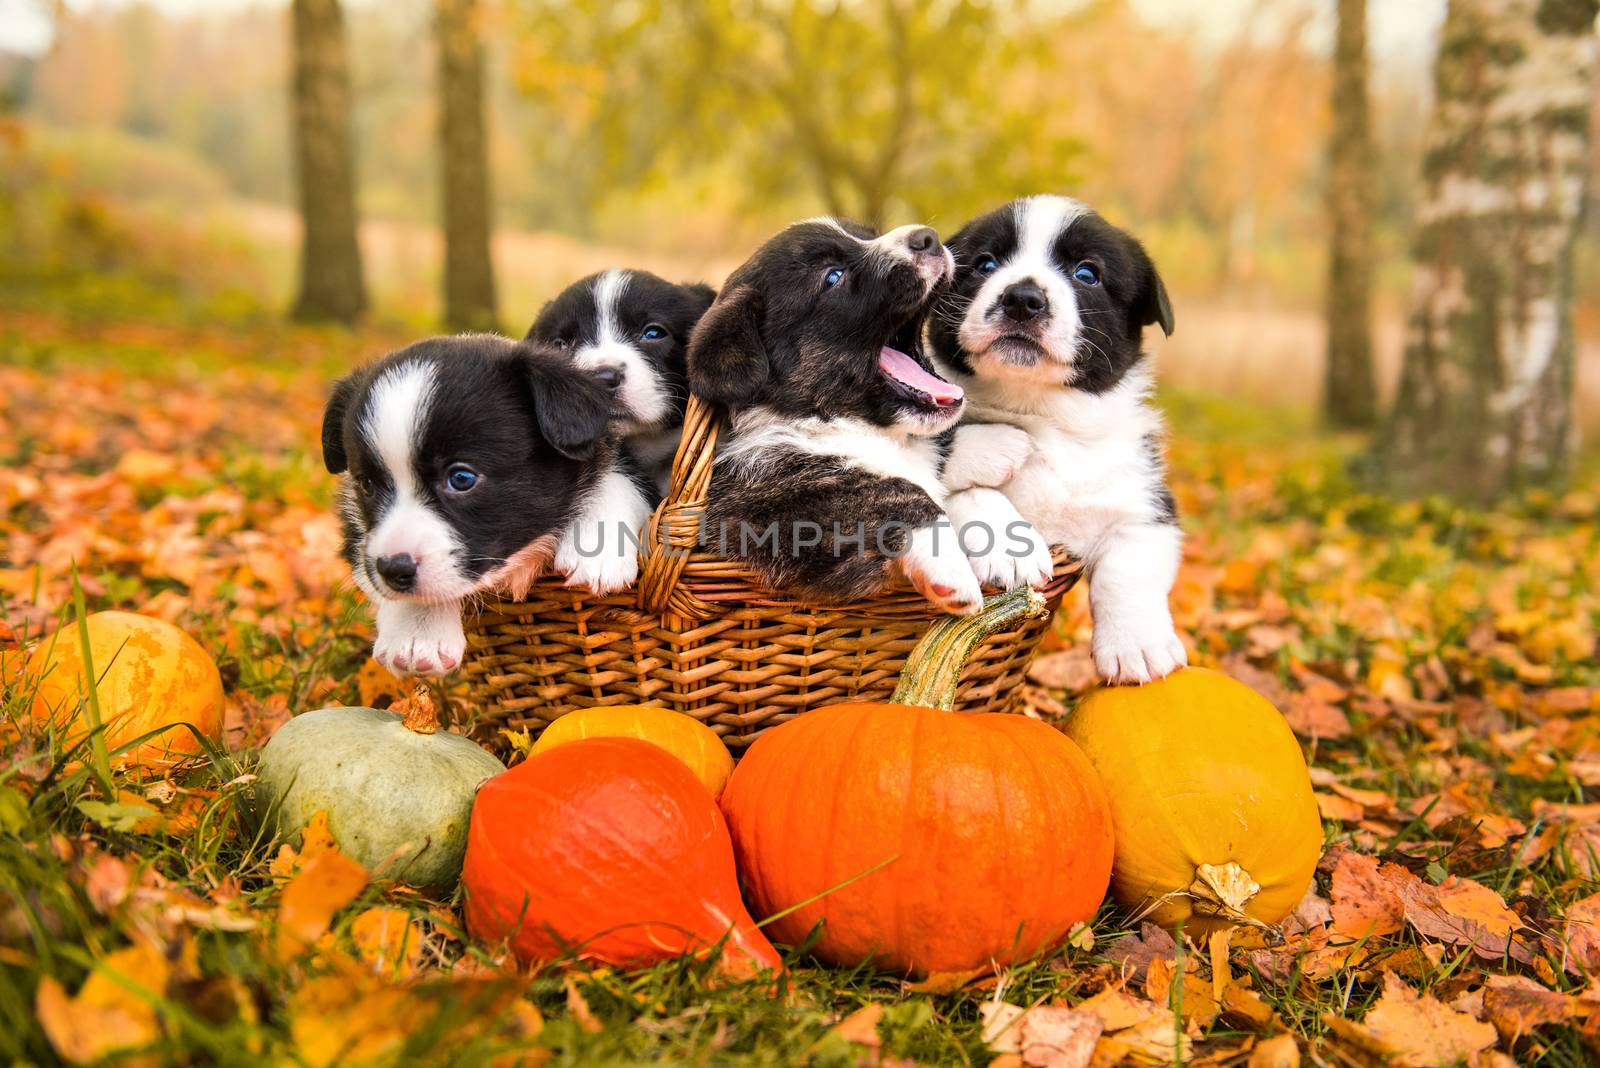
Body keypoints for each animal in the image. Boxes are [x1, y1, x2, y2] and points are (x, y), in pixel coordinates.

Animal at [691, 217, 985, 613]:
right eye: (833, 276)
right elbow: (898, 490)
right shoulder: (765, 508)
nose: (928, 237)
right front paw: (952, 571)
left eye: (868, 234)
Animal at [934, 197, 1184, 684]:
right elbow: (966, 489)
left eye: (1087, 273)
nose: (1022, 299)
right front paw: (1009, 544)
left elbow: (1129, 567)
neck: (1041, 411)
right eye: (985, 264)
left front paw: (1137, 645)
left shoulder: (1144, 501)